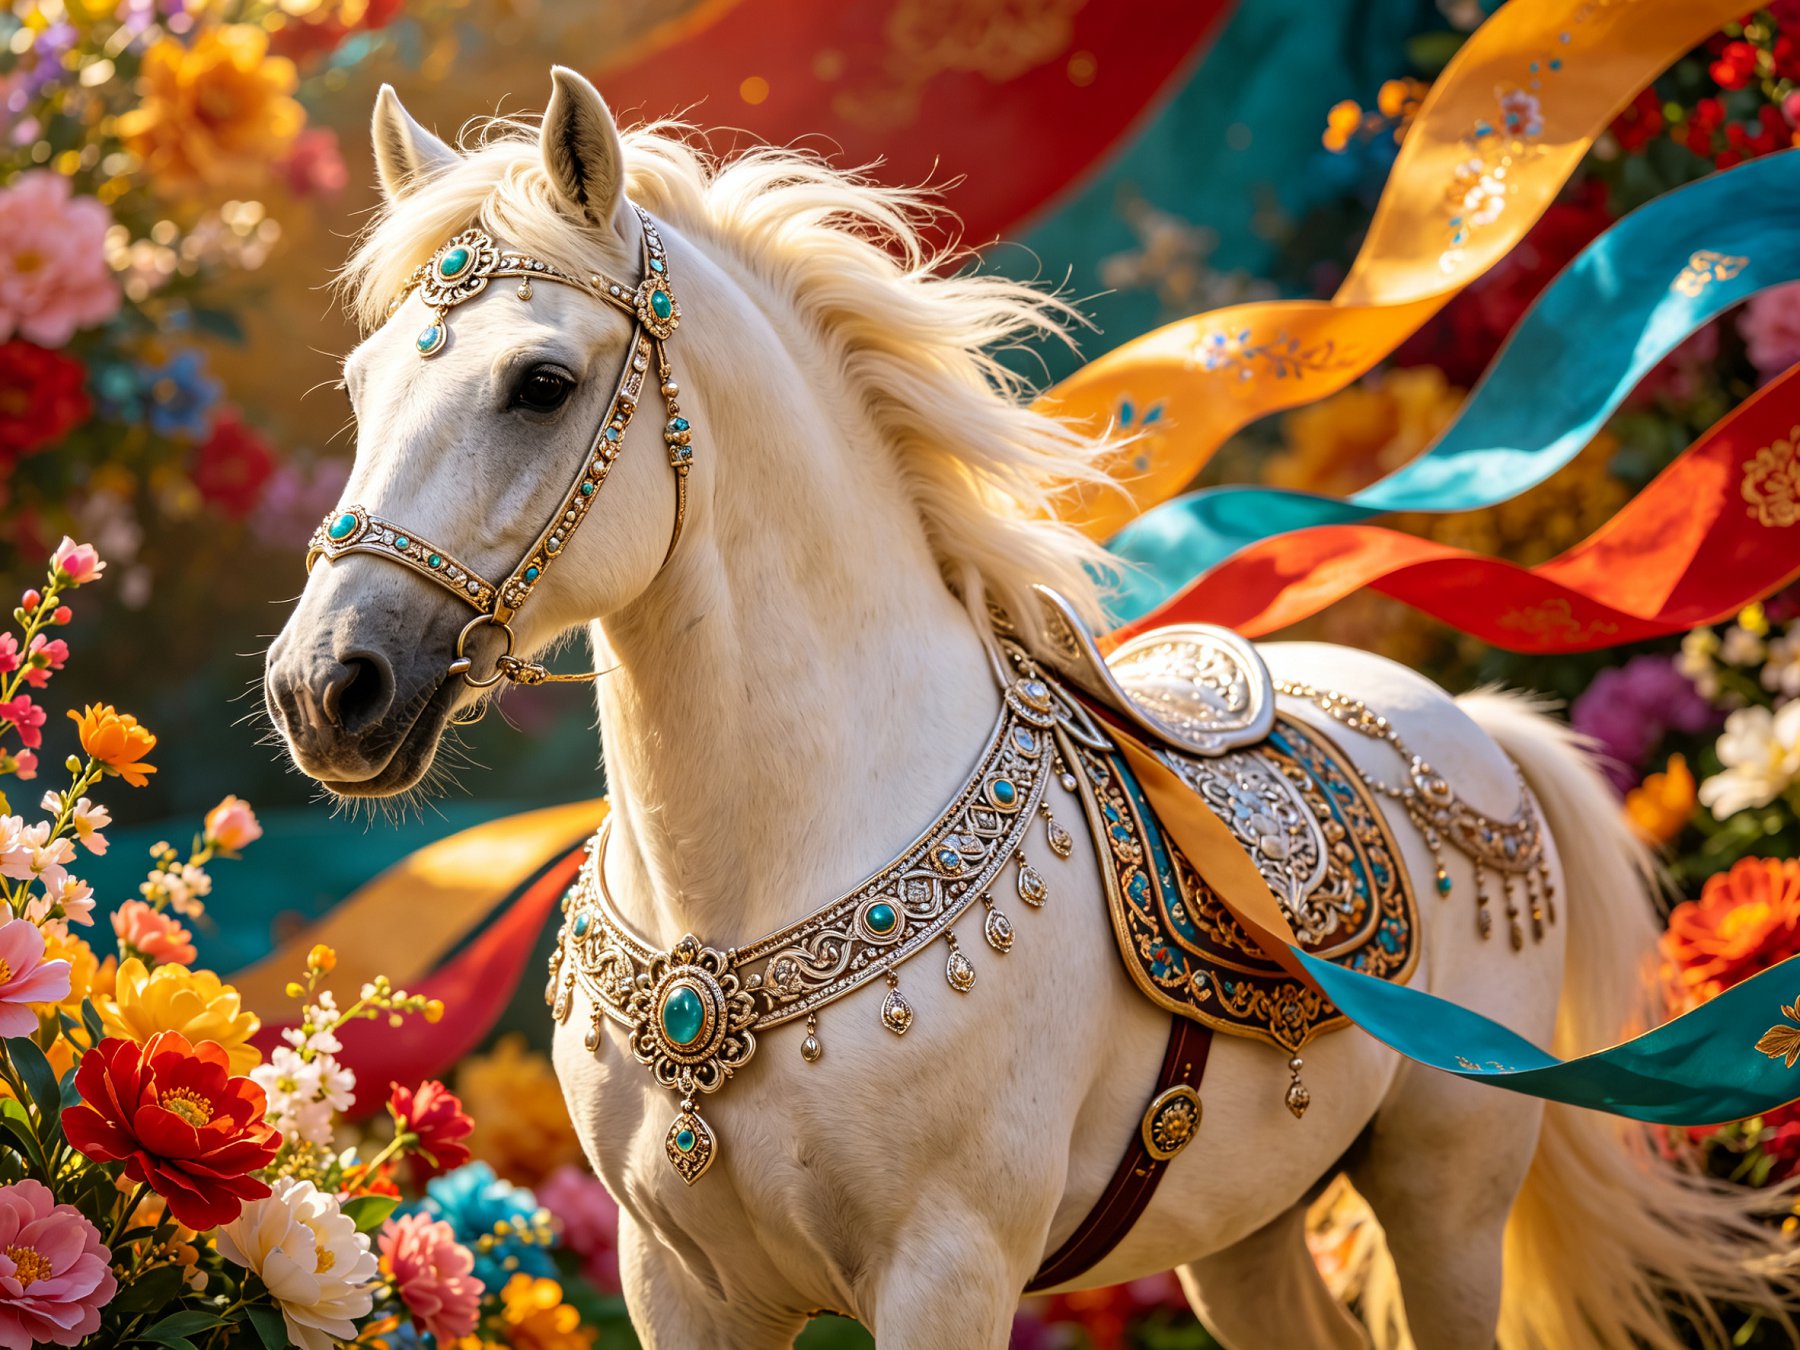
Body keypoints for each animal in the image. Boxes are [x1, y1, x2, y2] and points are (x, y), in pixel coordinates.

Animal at [265, 68, 1792, 1349]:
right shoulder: (679, 1286)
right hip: (1243, 1229)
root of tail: (1467, 719)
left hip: (1448, 1187)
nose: (326, 688)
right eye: (358, 384)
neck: (738, 908)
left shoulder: (947, 1272)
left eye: (541, 383)